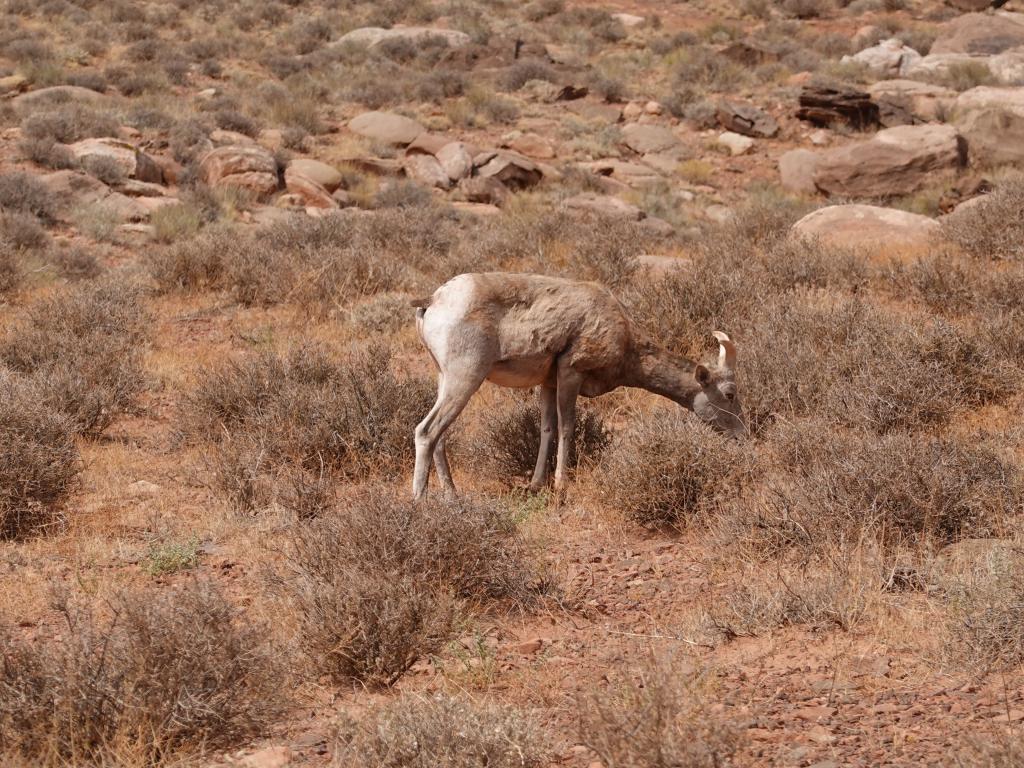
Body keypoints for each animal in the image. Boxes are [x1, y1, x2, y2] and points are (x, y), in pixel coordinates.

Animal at [409, 274, 745, 501]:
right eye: (729, 394)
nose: (742, 437)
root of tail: (434, 300)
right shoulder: (571, 372)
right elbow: (567, 427)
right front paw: (562, 484)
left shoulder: (548, 383)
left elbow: (546, 428)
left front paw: (537, 484)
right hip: (465, 378)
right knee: (426, 431)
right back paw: (420, 501)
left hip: (445, 379)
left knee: (440, 436)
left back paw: (453, 495)